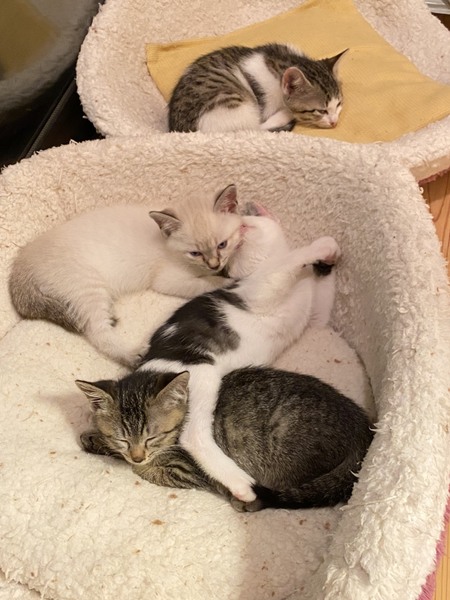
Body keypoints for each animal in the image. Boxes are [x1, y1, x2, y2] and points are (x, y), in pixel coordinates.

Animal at [8, 185, 246, 366]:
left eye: (222, 244)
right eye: (195, 253)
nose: (214, 263)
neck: (165, 241)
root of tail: (20, 265)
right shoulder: (167, 280)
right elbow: (203, 283)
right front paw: (227, 279)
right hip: (87, 285)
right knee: (97, 332)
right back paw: (132, 354)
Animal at [77, 366, 373, 512]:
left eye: (153, 437)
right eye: (123, 439)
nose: (138, 455)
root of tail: (362, 424)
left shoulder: (186, 470)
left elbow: (146, 471)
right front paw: (95, 439)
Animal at [78, 206, 340, 502]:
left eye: (241, 229)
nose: (240, 231)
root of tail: (143, 369)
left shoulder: (314, 317)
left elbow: (321, 309)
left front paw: (328, 261)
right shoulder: (258, 289)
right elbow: (285, 266)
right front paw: (322, 247)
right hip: (202, 373)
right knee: (192, 436)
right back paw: (242, 484)